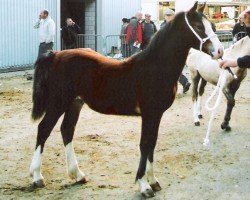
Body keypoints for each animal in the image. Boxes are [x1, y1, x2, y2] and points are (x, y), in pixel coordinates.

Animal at [29, 2, 223, 197]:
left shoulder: (156, 115)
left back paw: (78, 175)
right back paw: (37, 177)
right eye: (198, 26)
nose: (219, 51)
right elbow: (145, 144)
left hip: (74, 103)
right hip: (58, 103)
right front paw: (144, 185)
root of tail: (55, 55)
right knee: (43, 129)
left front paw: (153, 181)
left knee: (67, 130)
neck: (156, 67)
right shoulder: (149, 113)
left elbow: (152, 143)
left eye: (212, 26)